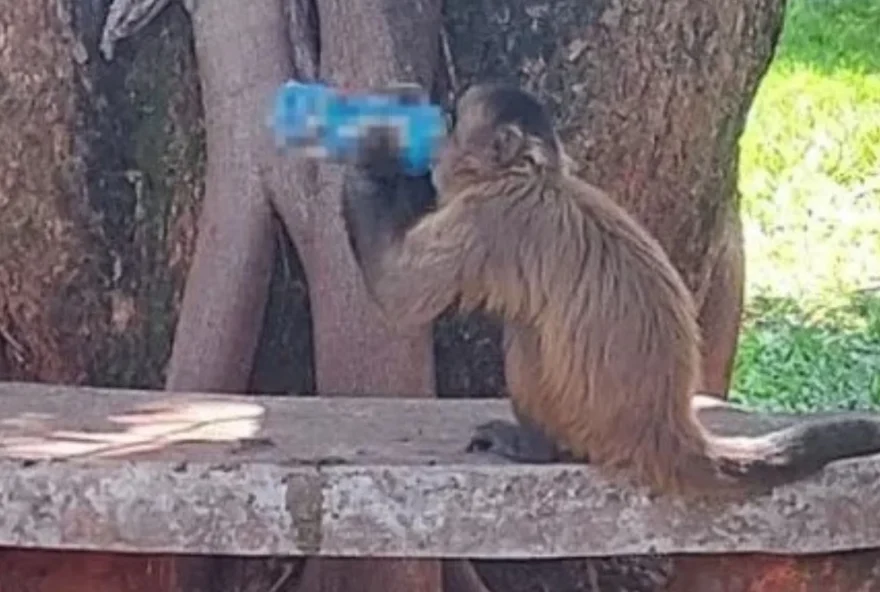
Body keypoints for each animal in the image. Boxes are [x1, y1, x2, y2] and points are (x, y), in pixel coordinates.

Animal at [340, 82, 880, 500]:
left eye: (453, 124)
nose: (435, 142)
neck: (537, 178)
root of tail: (667, 426)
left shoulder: (490, 216)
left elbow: (399, 292)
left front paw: (372, 155)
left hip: (584, 421)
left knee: (525, 330)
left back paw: (538, 448)